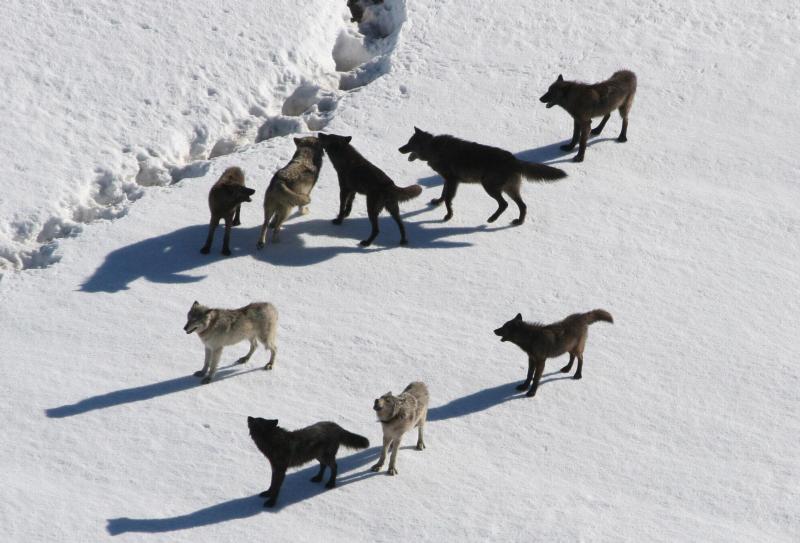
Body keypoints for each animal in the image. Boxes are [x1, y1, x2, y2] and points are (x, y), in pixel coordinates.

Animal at [398, 128, 566, 224]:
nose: (399, 149)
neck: (434, 148)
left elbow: (448, 199)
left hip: (489, 187)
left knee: (504, 204)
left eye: (409, 143)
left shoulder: (452, 180)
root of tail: (514, 160)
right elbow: (443, 195)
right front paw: (437, 202)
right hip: (509, 189)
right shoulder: (448, 180)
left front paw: (448, 216)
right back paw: (518, 222)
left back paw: (492, 219)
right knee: (522, 205)